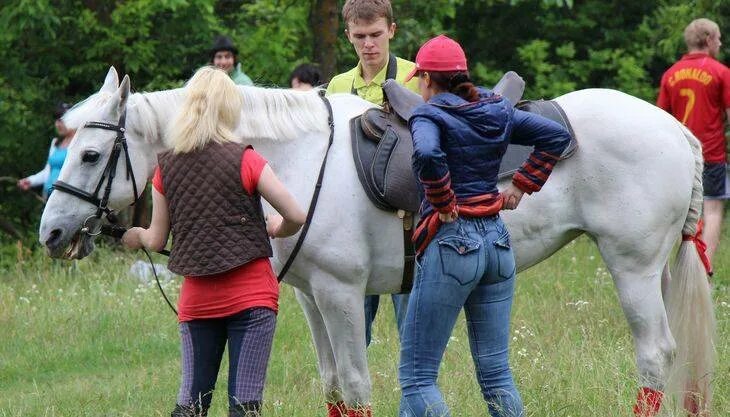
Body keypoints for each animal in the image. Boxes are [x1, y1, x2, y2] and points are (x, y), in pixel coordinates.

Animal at [38, 68, 712, 412]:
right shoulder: (311, 298)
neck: (298, 158)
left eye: (91, 154)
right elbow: (334, 384)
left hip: (632, 268)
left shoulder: (341, 294)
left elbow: (358, 384)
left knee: (655, 354)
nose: (52, 233)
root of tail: (675, 130)